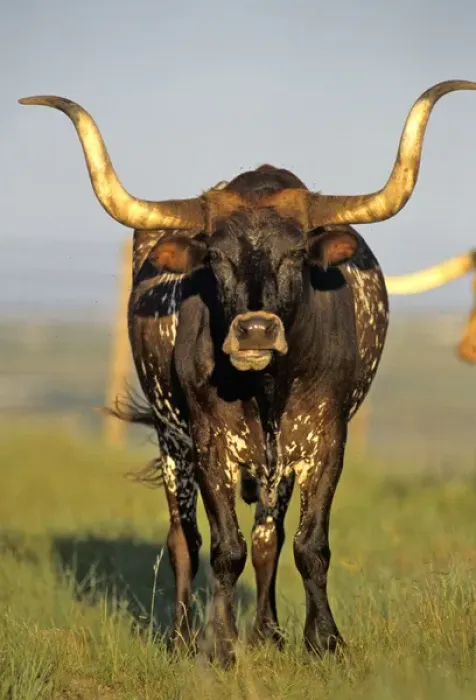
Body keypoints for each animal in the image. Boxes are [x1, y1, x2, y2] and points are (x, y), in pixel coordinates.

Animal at [19, 80, 476, 667]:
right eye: (215, 256)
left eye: (297, 253)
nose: (255, 330)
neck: (267, 389)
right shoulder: (211, 447)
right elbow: (223, 550)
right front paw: (218, 646)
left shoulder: (325, 445)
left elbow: (305, 545)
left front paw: (321, 641)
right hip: (173, 441)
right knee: (183, 541)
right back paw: (182, 636)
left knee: (267, 539)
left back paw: (268, 632)